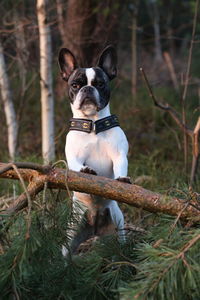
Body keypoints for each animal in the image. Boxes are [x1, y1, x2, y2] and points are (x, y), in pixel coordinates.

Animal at [57, 45, 130, 254]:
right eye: (75, 85)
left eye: (100, 84)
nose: (88, 88)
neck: (94, 124)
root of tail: (94, 226)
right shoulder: (73, 155)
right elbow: (76, 165)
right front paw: (85, 170)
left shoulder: (119, 154)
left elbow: (121, 165)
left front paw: (122, 178)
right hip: (71, 234)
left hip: (118, 225)